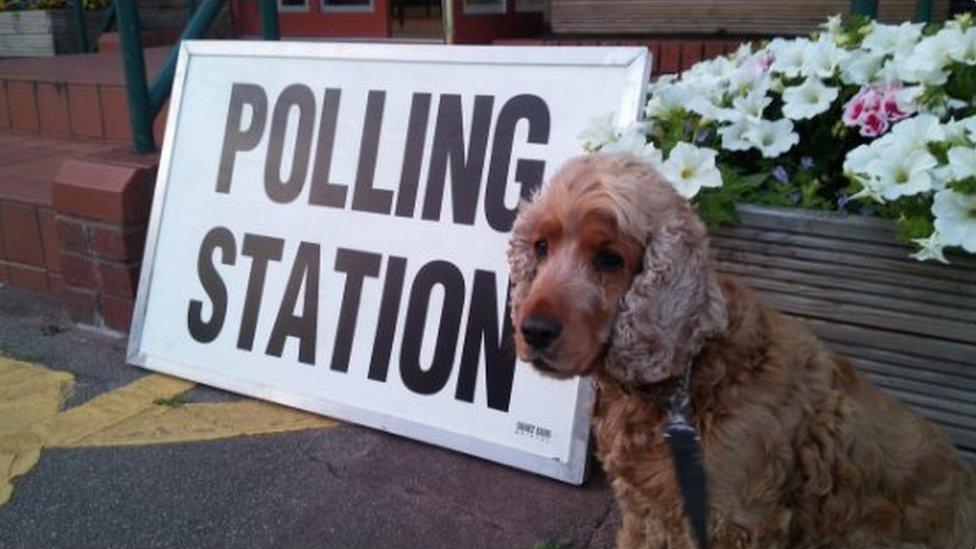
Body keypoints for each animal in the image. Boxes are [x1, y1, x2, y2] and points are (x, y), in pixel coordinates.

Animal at [508, 154, 972, 548]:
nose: (533, 330)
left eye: (610, 259)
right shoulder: (644, 511)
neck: (683, 383)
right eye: (541, 246)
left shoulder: (730, 520)